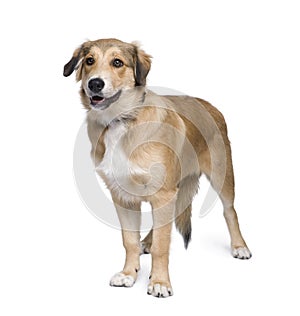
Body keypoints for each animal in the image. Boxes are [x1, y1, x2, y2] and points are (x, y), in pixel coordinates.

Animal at [63, 38, 251, 298]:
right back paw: (147, 242)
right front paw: (129, 274)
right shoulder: (123, 197)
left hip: (222, 176)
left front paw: (160, 282)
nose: (95, 84)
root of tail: (208, 104)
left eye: (117, 62)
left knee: (230, 211)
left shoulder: (163, 194)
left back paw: (239, 246)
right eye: (89, 60)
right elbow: (129, 240)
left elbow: (163, 246)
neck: (121, 120)